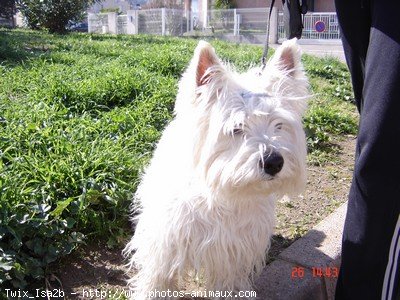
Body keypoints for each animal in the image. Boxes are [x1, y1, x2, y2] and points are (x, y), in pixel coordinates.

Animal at [125, 38, 310, 298]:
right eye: (236, 128)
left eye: (279, 124)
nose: (274, 162)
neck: (222, 192)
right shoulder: (165, 244)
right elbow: (157, 279)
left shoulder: (234, 252)